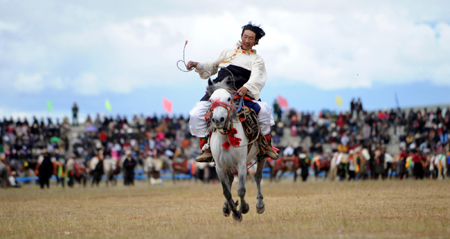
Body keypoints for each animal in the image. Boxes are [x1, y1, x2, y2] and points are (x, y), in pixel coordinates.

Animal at [207, 78, 268, 222]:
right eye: (211, 100)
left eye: (229, 98)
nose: (217, 119)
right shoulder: (220, 168)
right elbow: (227, 192)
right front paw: (234, 211)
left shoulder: (241, 164)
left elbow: (241, 190)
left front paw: (243, 208)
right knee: (230, 181)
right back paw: (227, 207)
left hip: (261, 156)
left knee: (258, 177)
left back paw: (260, 205)